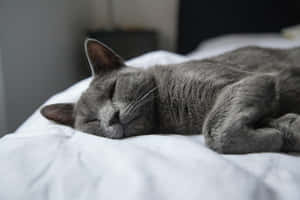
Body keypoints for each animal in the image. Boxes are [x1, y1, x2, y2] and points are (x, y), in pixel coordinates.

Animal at [41, 38, 300, 154]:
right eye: (92, 121)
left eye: (112, 89)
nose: (112, 117)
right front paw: (281, 133)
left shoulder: (248, 80)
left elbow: (214, 130)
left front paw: (277, 135)